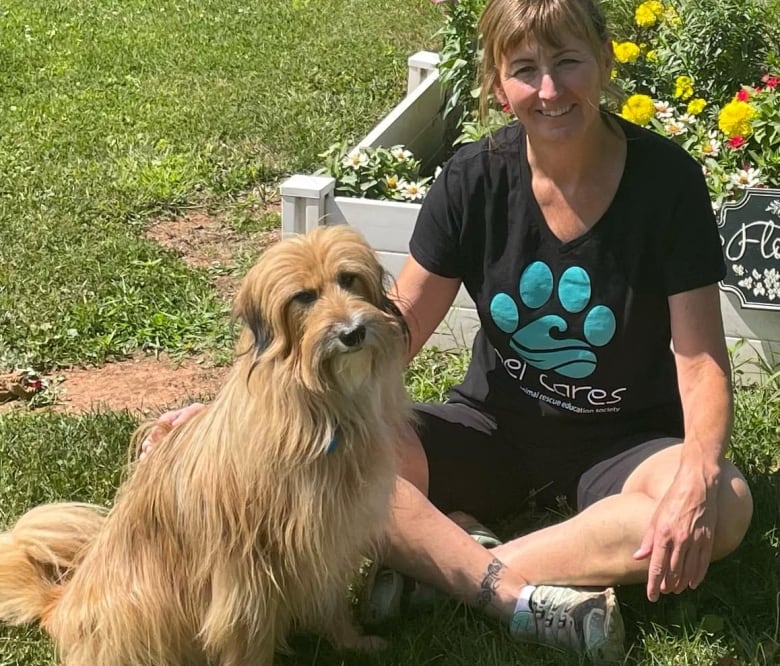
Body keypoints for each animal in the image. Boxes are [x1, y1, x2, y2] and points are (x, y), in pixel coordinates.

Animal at [0, 226, 414, 660]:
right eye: (304, 297)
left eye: (348, 279)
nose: (353, 332)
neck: (322, 407)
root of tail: (58, 604)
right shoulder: (247, 570)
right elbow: (249, 635)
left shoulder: (332, 540)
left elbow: (332, 602)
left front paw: (352, 642)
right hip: (143, 603)